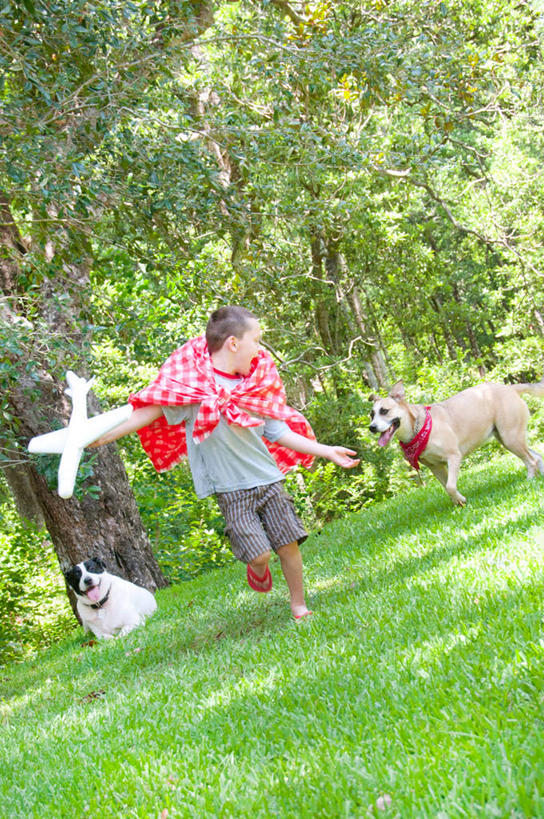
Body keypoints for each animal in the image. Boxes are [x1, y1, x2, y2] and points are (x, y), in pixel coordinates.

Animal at [370, 380, 544, 506]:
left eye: (384, 411)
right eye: (371, 415)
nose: (371, 427)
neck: (418, 428)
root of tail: (509, 388)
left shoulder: (453, 457)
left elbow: (450, 486)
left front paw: (460, 500)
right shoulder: (436, 467)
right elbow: (447, 487)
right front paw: (458, 503)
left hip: (511, 437)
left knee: (532, 460)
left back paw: (529, 479)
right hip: (507, 439)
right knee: (537, 456)